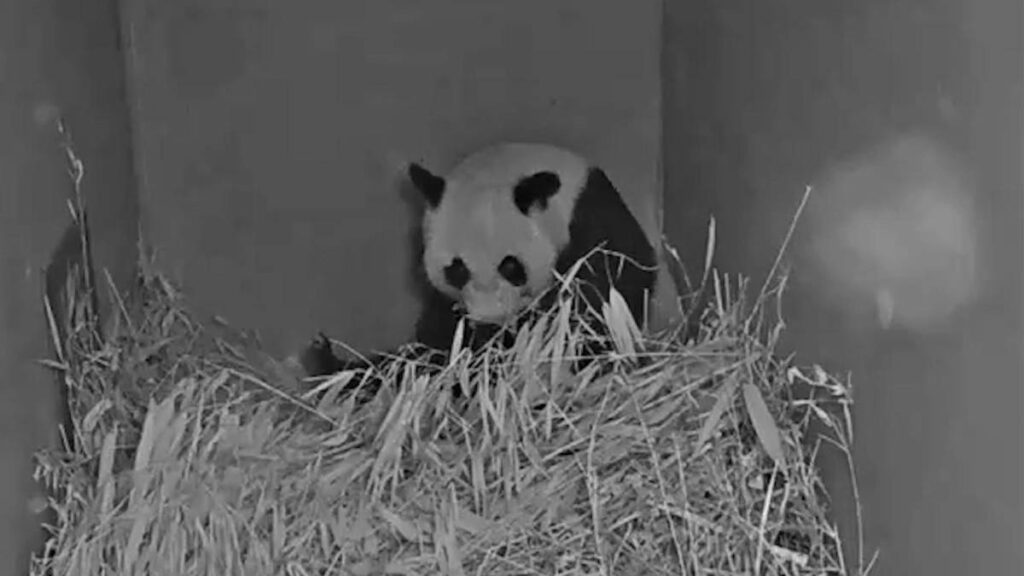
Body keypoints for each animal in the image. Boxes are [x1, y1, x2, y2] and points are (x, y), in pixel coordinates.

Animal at [304, 142, 659, 393]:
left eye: (511, 266)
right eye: (457, 269)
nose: (491, 320)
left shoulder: (592, 222)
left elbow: (596, 303)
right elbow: (438, 340)